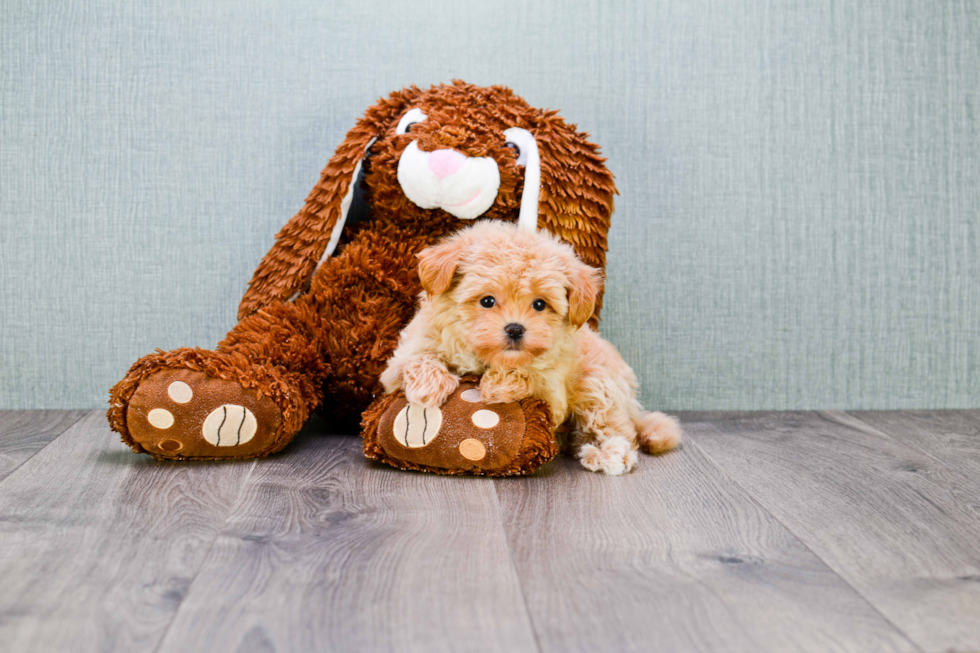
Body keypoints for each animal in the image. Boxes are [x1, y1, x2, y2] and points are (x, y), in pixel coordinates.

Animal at [380, 220, 680, 474]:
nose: (515, 329)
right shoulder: (401, 360)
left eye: (539, 304)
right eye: (487, 301)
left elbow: (531, 375)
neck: (487, 357)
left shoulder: (553, 394)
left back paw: (610, 454)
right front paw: (429, 387)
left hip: (600, 383)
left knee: (614, 427)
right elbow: (417, 359)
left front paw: (498, 384)